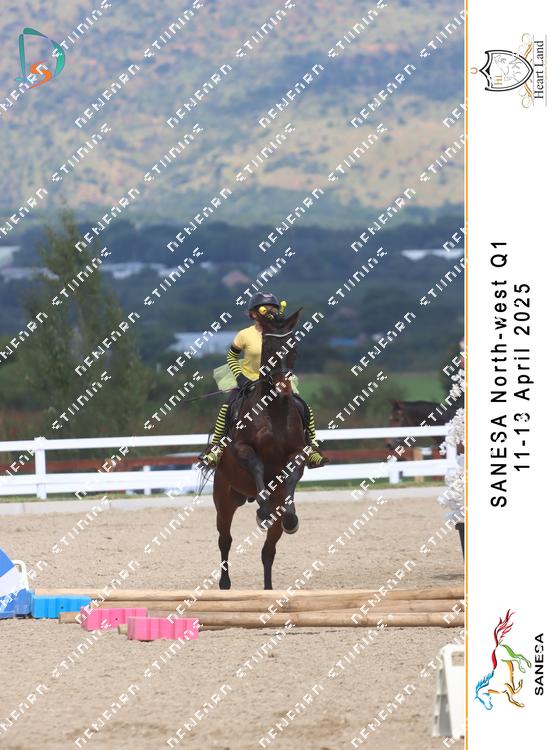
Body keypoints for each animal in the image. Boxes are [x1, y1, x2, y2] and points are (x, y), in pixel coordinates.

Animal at [212, 308, 309, 590]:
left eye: (293, 347)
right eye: (270, 348)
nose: (283, 388)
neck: (273, 409)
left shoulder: (297, 454)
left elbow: (291, 478)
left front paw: (291, 518)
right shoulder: (243, 449)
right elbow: (256, 465)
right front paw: (262, 512)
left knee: (268, 551)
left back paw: (268, 589)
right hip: (224, 499)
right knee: (225, 540)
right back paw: (225, 583)